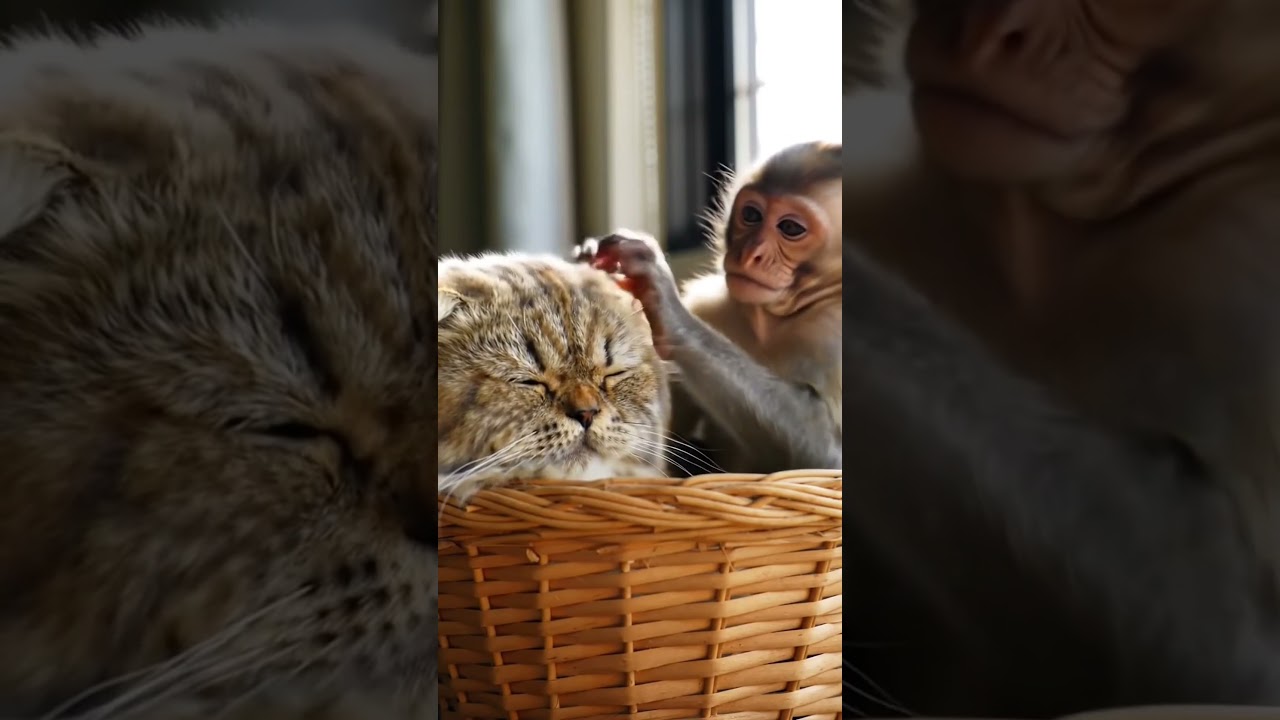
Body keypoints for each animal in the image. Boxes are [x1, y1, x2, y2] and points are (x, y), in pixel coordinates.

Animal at [574, 140, 841, 475]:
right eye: (751, 215)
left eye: (791, 228)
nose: (751, 253)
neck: (773, 320)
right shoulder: (709, 304)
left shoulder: (833, 334)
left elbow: (828, 458)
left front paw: (667, 309)